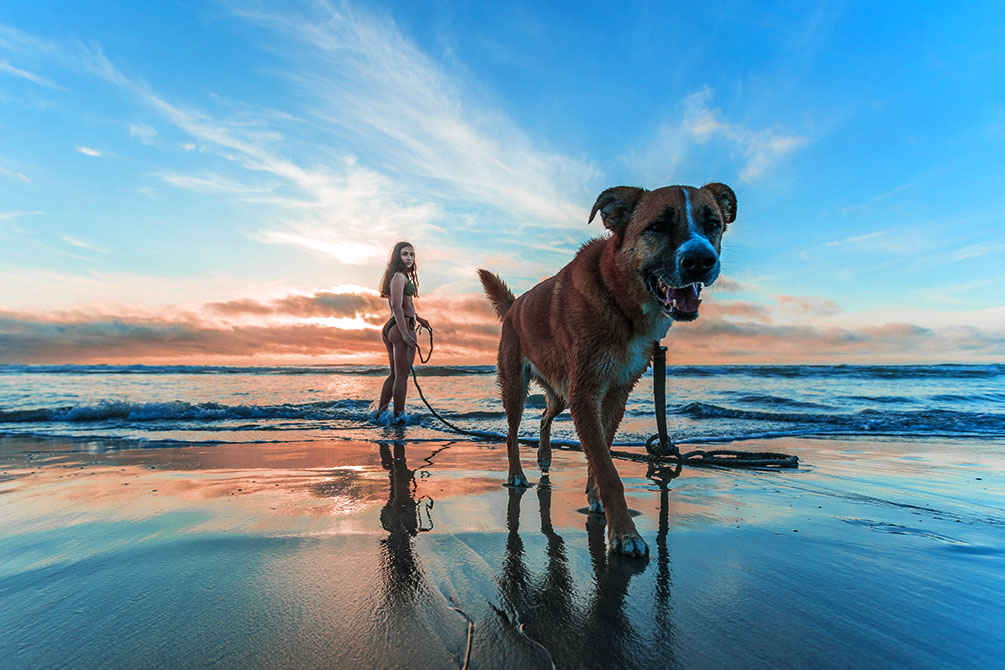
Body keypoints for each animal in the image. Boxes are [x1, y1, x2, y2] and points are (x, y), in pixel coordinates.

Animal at [478, 183, 739, 554]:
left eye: (713, 223)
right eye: (658, 226)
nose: (701, 261)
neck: (619, 299)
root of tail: (515, 306)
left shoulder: (614, 393)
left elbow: (600, 452)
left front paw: (595, 498)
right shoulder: (586, 393)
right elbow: (606, 467)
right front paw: (625, 533)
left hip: (562, 392)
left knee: (544, 415)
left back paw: (544, 457)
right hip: (518, 385)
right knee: (512, 434)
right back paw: (517, 474)